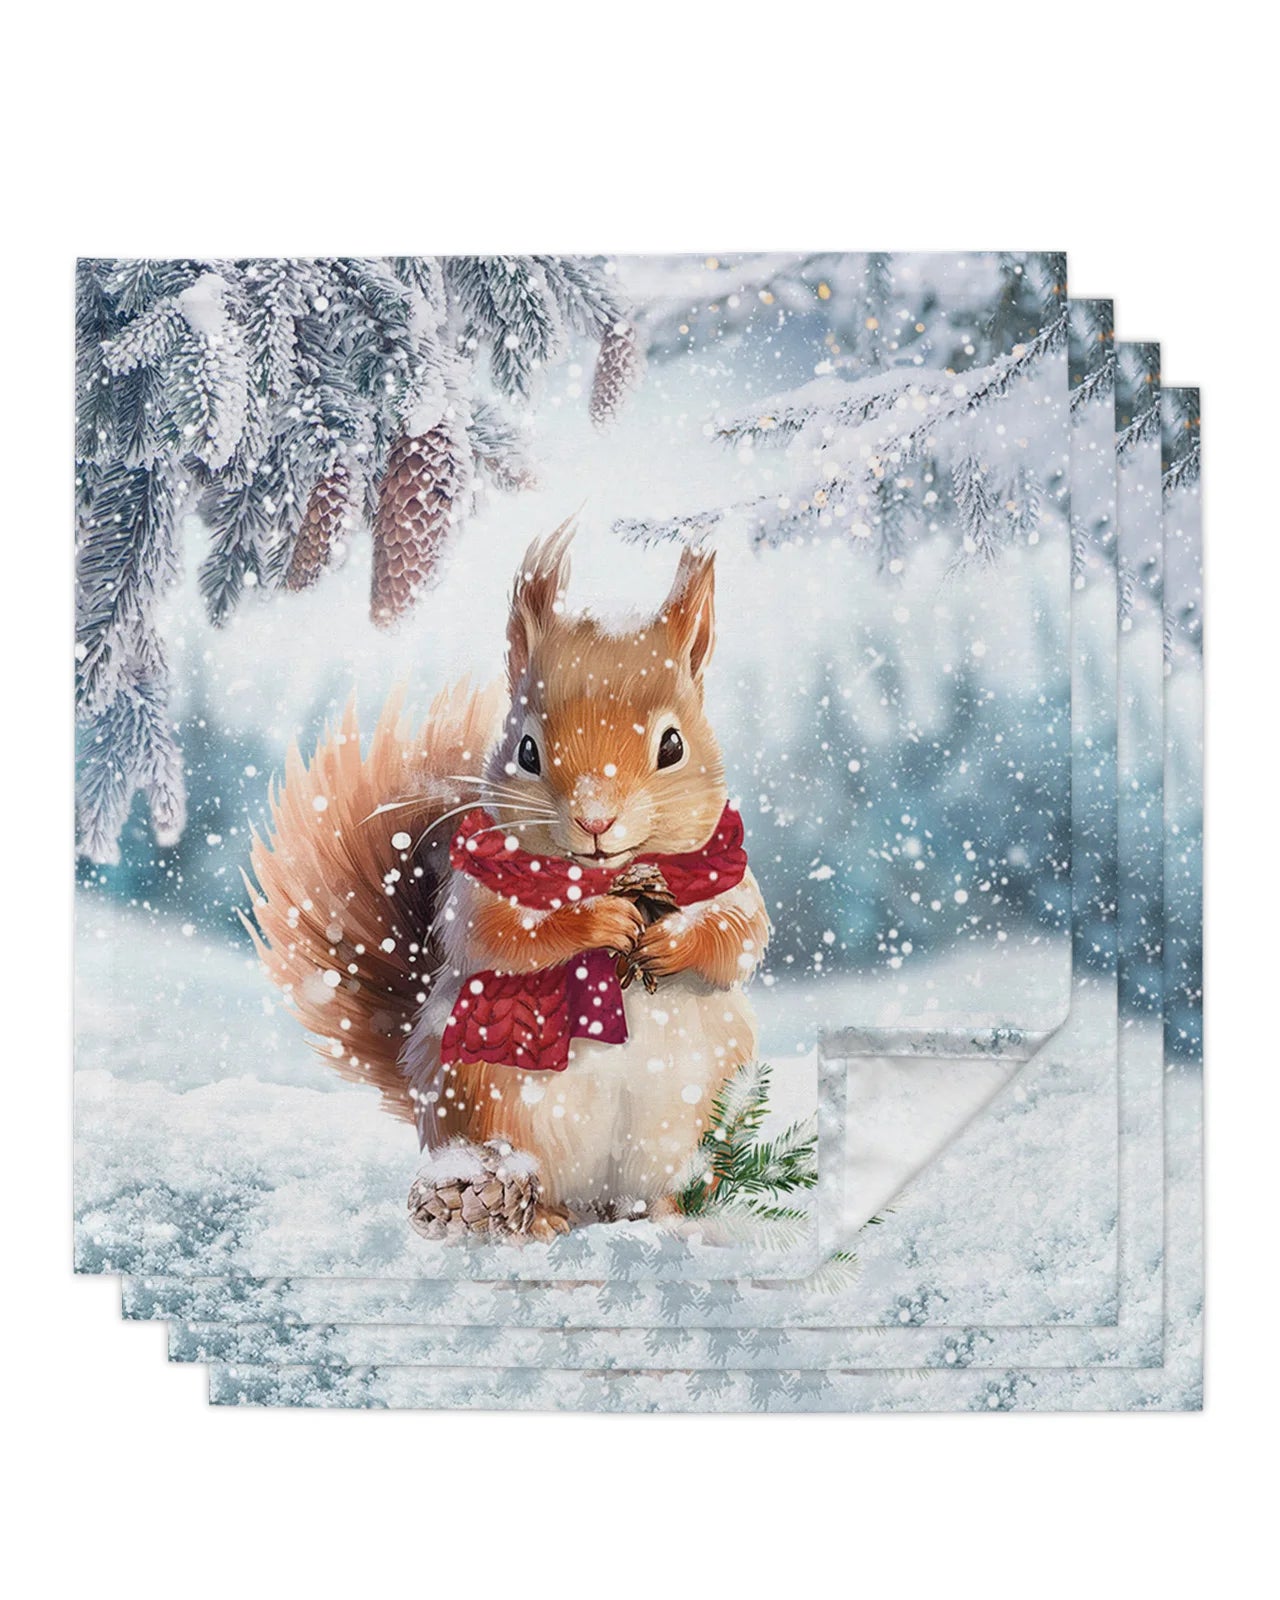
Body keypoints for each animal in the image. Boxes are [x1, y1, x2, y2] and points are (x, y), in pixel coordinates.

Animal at [244, 525, 770, 1239]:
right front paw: (595, 923)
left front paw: (673, 940)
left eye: (672, 746)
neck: (600, 875)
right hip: (497, 1109)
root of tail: (597, 1200)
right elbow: (505, 938)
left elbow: (739, 936)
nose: (595, 817)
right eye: (527, 751)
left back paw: (672, 1220)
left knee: (662, 1188)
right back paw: (539, 1217)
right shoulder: (475, 889)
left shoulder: (728, 867)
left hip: (691, 1115)